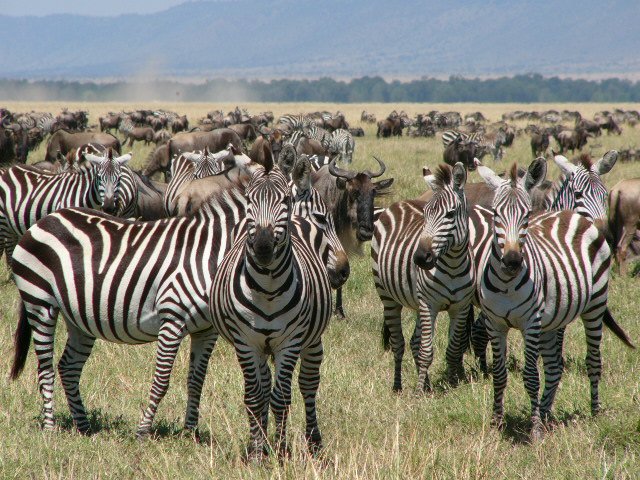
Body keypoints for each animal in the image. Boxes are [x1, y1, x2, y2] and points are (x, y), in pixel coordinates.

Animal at [0, 147, 138, 263]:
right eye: (99, 177)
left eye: (119, 178)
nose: (109, 207)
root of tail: (10, 168)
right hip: (3, 223)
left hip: (14, 226)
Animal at [208, 163, 334, 459]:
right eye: (249, 201)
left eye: (285, 200)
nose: (263, 248)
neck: (266, 288)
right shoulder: (245, 342)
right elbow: (255, 397)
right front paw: (257, 450)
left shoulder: (290, 342)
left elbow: (282, 397)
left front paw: (281, 449)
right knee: (264, 385)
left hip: (311, 339)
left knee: (308, 384)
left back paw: (313, 441)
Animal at [372, 162, 474, 393]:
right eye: (426, 214)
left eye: (450, 214)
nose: (420, 258)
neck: (453, 265)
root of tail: (399, 203)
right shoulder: (430, 304)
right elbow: (426, 351)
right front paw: (419, 392)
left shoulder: (461, 307)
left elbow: (453, 349)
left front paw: (451, 384)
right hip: (388, 297)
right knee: (399, 343)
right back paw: (398, 386)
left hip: (418, 302)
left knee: (414, 342)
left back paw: (425, 383)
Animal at [475, 159, 633, 441]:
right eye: (495, 213)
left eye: (527, 215)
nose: (512, 261)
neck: (506, 284)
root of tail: (571, 214)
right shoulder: (495, 324)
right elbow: (499, 374)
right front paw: (497, 423)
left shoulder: (530, 323)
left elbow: (530, 376)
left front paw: (535, 429)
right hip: (553, 320)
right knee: (553, 365)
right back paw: (547, 411)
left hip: (594, 306)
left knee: (593, 360)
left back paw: (594, 412)